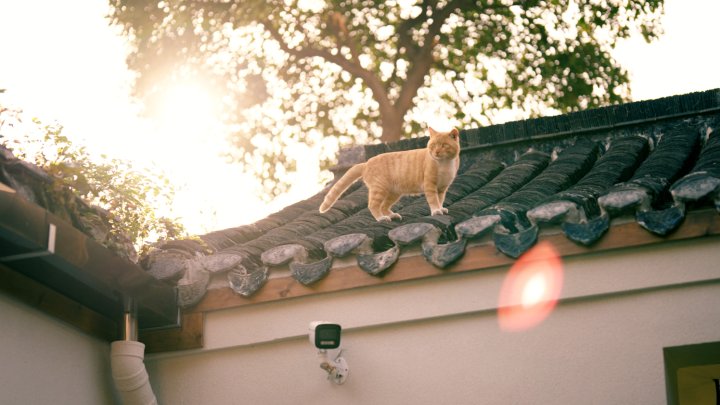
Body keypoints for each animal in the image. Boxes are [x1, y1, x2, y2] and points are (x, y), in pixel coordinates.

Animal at [320, 127, 462, 219]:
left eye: (443, 145)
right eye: (432, 145)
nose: (436, 152)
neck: (444, 164)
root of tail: (366, 163)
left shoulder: (442, 188)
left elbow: (440, 200)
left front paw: (441, 208)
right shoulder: (430, 185)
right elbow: (433, 200)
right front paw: (436, 211)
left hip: (393, 193)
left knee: (384, 206)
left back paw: (392, 215)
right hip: (379, 189)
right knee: (373, 205)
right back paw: (381, 218)